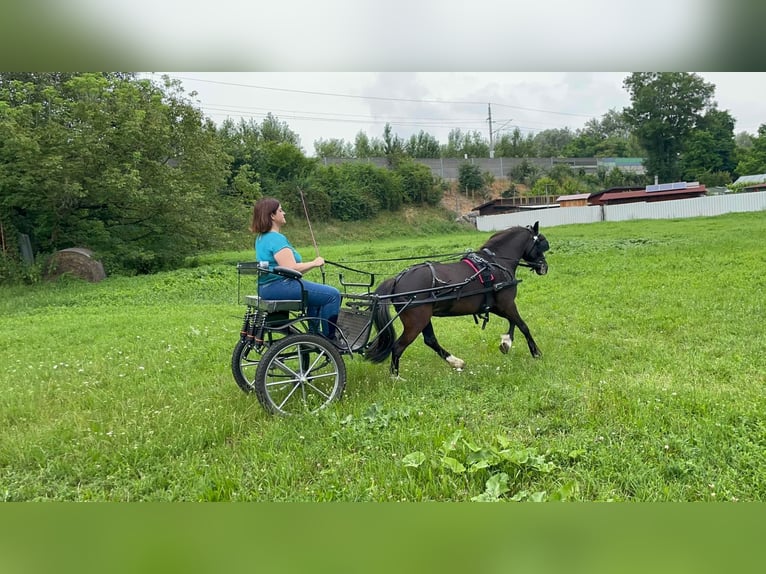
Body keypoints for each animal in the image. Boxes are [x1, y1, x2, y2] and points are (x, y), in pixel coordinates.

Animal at [368, 224, 552, 378]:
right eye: (540, 245)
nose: (544, 267)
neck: (496, 263)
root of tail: (397, 280)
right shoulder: (507, 304)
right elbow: (523, 325)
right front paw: (535, 352)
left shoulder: (496, 306)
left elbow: (513, 323)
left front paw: (506, 342)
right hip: (417, 320)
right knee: (398, 346)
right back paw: (395, 377)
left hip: (424, 318)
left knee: (430, 340)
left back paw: (455, 362)